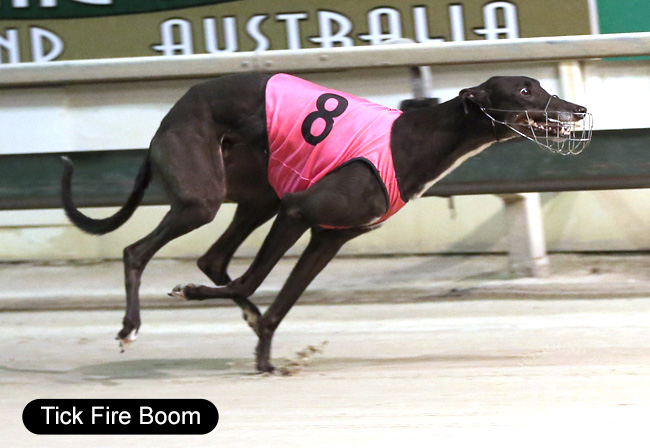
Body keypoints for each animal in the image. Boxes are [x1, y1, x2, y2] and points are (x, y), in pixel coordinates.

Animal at [61, 73, 589, 372]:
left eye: (540, 85)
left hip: (258, 196)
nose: (579, 109)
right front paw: (201, 302)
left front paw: (265, 357)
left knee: (214, 258)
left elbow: (281, 302)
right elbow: (253, 279)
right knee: (139, 251)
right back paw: (130, 327)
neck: (414, 138)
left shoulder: (328, 237)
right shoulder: (300, 212)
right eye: (525, 89)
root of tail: (170, 113)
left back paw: (239, 313)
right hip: (203, 198)